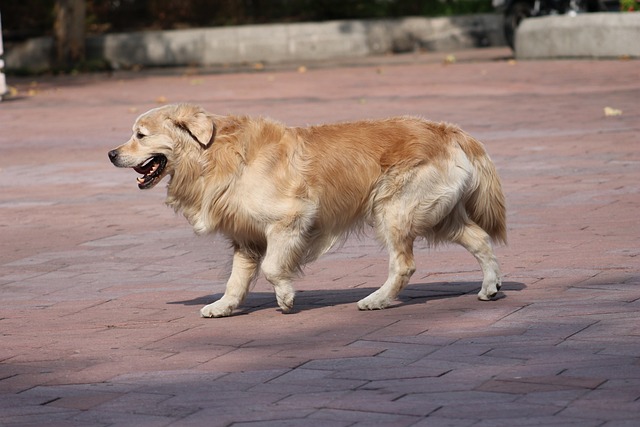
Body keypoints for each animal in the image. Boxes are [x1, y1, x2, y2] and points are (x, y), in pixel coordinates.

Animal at [109, 103, 504, 318]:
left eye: (140, 135)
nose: (111, 154)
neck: (213, 156)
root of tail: (449, 130)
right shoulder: (245, 237)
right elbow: (237, 279)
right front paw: (224, 305)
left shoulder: (290, 219)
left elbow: (272, 268)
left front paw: (285, 297)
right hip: (438, 216)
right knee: (480, 239)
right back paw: (490, 286)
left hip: (394, 211)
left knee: (404, 265)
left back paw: (376, 300)